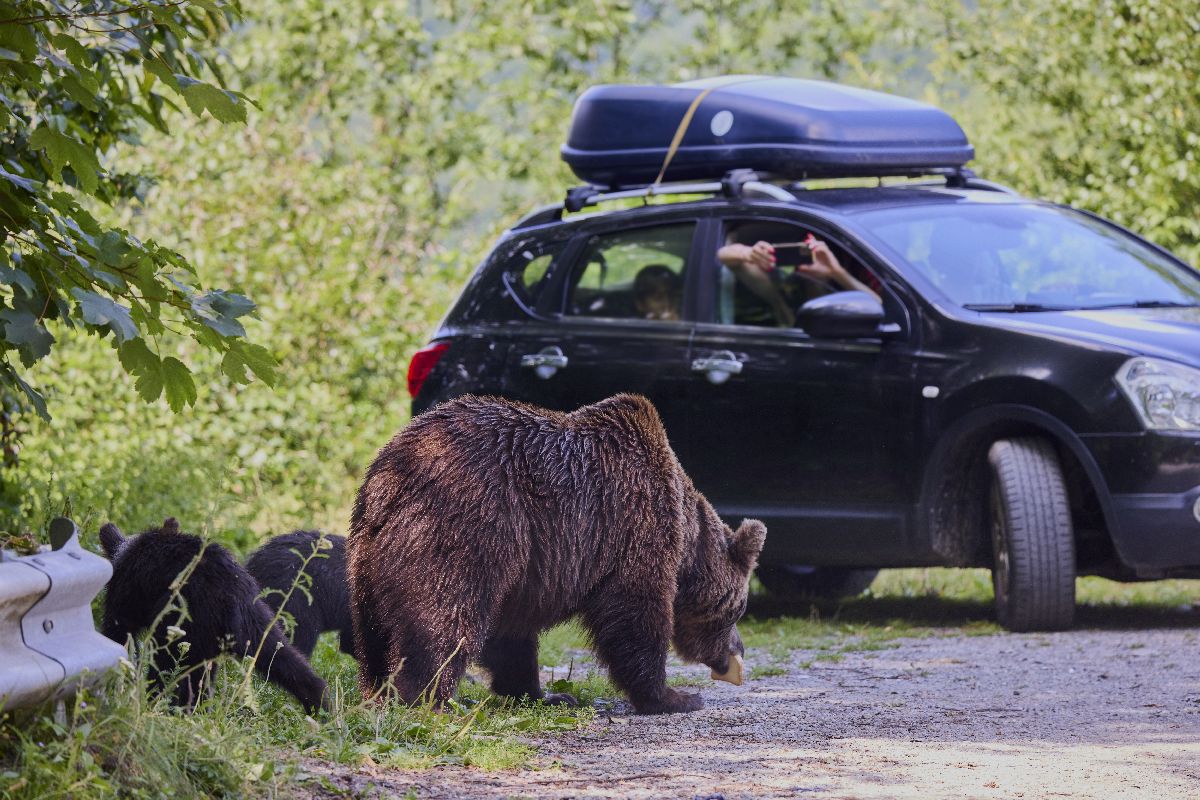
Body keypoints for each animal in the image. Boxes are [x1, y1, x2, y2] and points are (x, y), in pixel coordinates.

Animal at [348, 393, 763, 714]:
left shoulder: (527, 569)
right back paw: (428, 699)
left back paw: (378, 691)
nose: (738, 648)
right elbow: (635, 614)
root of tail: (390, 482)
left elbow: (511, 635)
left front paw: (543, 695)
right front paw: (674, 697)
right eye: (738, 609)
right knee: (444, 616)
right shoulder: (633, 527)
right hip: (466, 525)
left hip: (365, 558)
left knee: (373, 632)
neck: (687, 538)